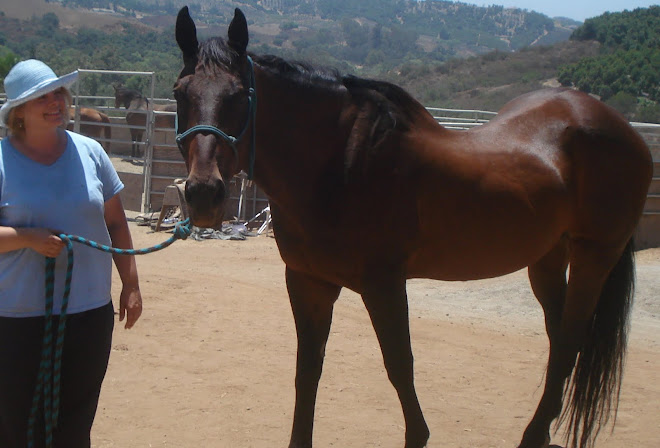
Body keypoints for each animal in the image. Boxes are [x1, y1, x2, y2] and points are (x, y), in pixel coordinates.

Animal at [173, 7, 652, 448]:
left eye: (239, 95)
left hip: (595, 255)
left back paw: (533, 436)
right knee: (558, 342)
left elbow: (399, 365)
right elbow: (308, 370)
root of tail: (621, 128)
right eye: (180, 93)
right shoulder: (307, 282)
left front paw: (418, 434)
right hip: (548, 257)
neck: (341, 165)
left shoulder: (383, 283)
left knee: (570, 339)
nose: (203, 194)